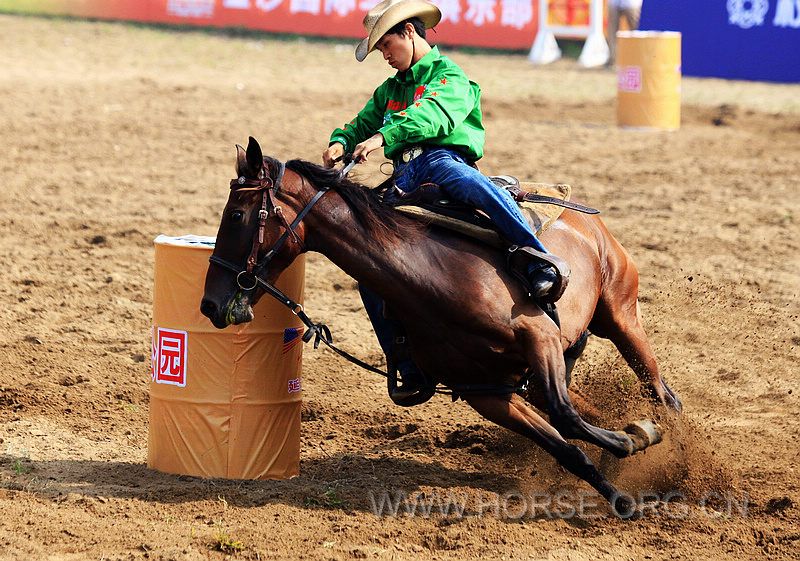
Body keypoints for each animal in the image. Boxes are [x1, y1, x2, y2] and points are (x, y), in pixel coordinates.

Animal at [202, 138, 680, 516]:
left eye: (238, 216)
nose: (210, 304)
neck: (433, 276)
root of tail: (582, 215)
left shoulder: (538, 336)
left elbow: (565, 417)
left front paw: (638, 439)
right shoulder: (487, 393)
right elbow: (565, 445)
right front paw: (620, 490)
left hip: (620, 315)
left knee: (659, 391)